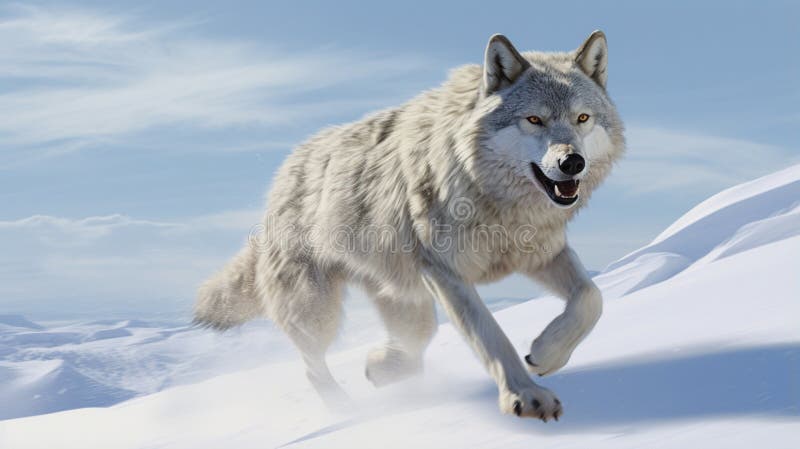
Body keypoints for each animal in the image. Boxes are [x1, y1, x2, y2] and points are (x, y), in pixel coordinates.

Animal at [195, 31, 624, 421]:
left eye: (582, 118)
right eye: (534, 119)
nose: (572, 162)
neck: (493, 197)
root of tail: (287, 168)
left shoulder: (542, 253)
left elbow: (591, 299)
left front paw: (546, 355)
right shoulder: (446, 273)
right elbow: (491, 338)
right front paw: (526, 395)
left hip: (404, 296)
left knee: (415, 344)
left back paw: (381, 365)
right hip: (318, 311)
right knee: (312, 366)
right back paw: (346, 408)